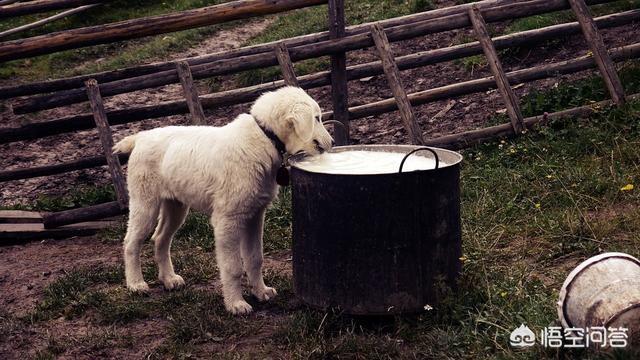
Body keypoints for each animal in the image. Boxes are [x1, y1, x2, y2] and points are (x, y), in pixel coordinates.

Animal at [113, 87, 332, 316]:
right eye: (317, 118)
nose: (332, 143)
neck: (264, 137)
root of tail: (141, 136)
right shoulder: (228, 220)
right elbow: (233, 267)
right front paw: (236, 304)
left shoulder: (255, 215)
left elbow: (255, 258)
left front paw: (260, 292)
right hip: (145, 202)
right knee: (131, 242)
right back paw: (136, 284)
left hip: (176, 206)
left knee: (160, 238)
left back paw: (169, 279)